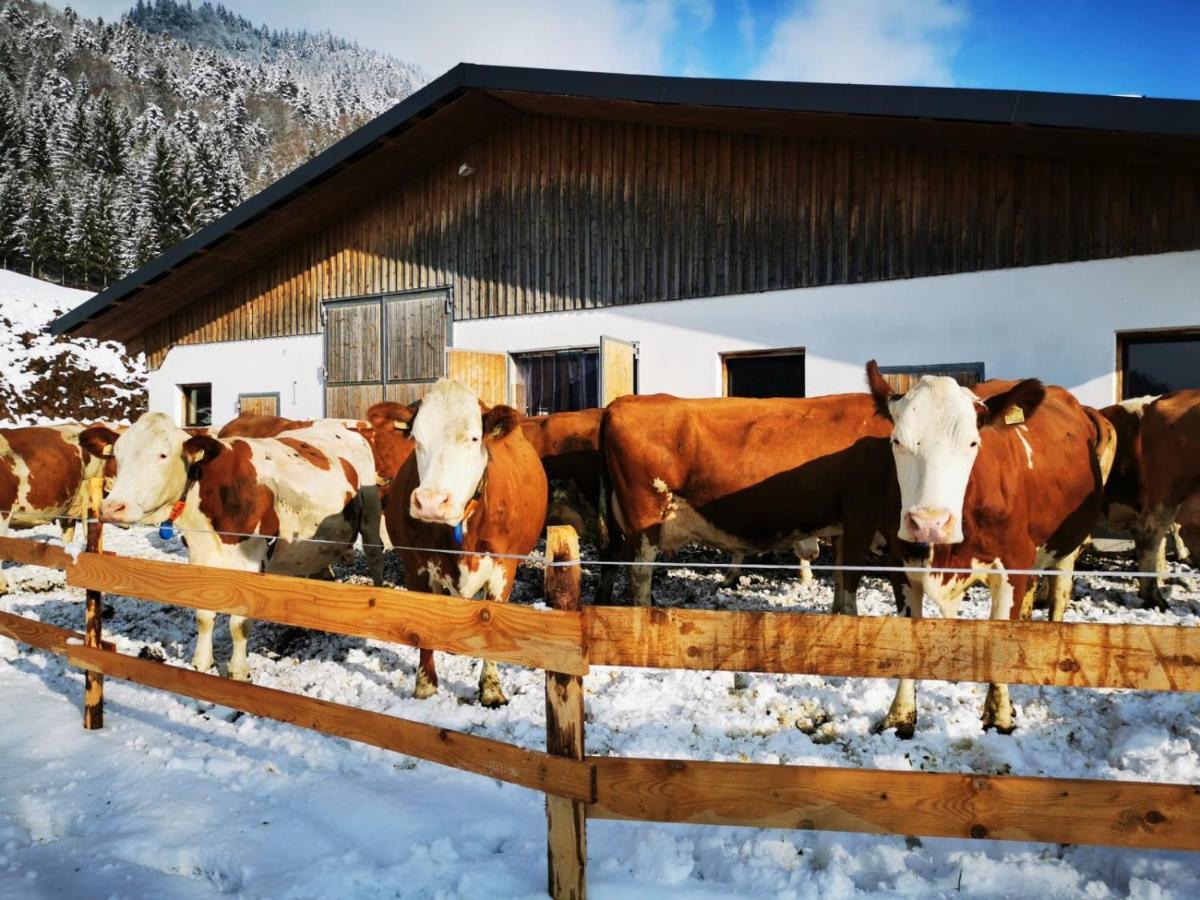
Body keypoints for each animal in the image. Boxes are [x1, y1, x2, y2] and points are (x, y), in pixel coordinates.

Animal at [89, 415, 384, 681]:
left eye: (163, 454)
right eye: (117, 455)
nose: (113, 508)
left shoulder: (250, 563)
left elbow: (239, 624)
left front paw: (238, 671)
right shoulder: (200, 558)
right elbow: (204, 615)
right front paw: (201, 662)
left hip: (370, 514)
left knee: (375, 555)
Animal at [384, 376, 549, 710]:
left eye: (474, 438)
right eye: (416, 439)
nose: (431, 502)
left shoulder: (503, 568)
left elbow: (491, 626)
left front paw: (491, 690)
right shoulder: (416, 566)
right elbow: (424, 627)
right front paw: (425, 686)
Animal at [604, 393, 897, 609]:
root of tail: (621, 402)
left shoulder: (843, 528)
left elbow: (840, 582)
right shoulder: (861, 519)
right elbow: (849, 589)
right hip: (646, 521)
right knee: (640, 576)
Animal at [868, 362, 1118, 734]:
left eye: (973, 442)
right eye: (897, 441)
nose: (929, 523)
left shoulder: (1012, 562)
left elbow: (999, 637)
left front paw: (999, 717)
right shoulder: (900, 562)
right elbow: (909, 639)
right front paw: (900, 716)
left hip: (1067, 544)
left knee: (1059, 594)